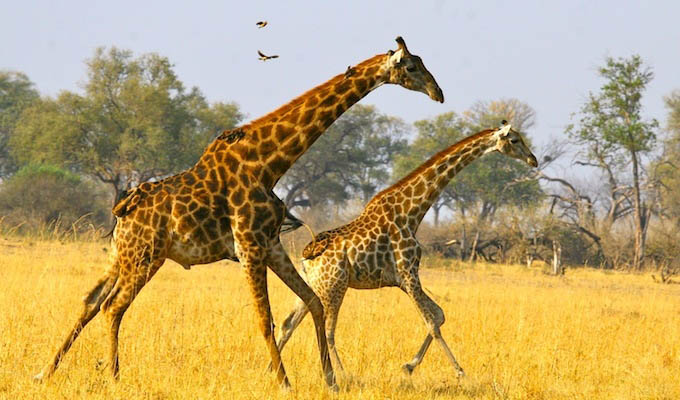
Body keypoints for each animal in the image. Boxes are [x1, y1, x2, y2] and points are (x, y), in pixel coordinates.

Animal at [34, 36, 444, 390]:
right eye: (410, 66)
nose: (438, 93)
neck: (268, 163)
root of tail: (123, 209)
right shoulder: (248, 246)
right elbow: (265, 319)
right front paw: (284, 382)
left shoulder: (271, 244)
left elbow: (311, 303)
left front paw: (330, 380)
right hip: (146, 256)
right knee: (113, 307)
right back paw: (114, 376)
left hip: (123, 253)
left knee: (90, 301)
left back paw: (46, 371)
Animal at [270, 120, 536, 376]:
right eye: (514, 139)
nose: (533, 159)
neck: (412, 212)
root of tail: (306, 257)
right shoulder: (409, 273)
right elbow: (432, 323)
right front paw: (459, 371)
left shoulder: (402, 279)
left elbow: (440, 315)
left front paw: (409, 365)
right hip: (334, 286)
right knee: (328, 330)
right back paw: (344, 376)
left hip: (314, 286)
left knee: (288, 323)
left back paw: (272, 370)